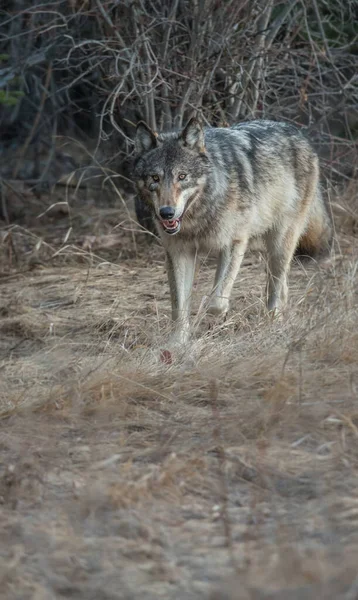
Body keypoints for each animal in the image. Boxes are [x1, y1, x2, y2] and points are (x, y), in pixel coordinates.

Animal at [132, 117, 332, 342]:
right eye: (155, 178)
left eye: (182, 176)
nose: (167, 212)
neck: (200, 215)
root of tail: (298, 133)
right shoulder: (178, 252)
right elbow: (179, 307)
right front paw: (177, 343)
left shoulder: (234, 243)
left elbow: (216, 302)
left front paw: (214, 317)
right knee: (282, 286)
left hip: (280, 244)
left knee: (276, 284)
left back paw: (272, 321)